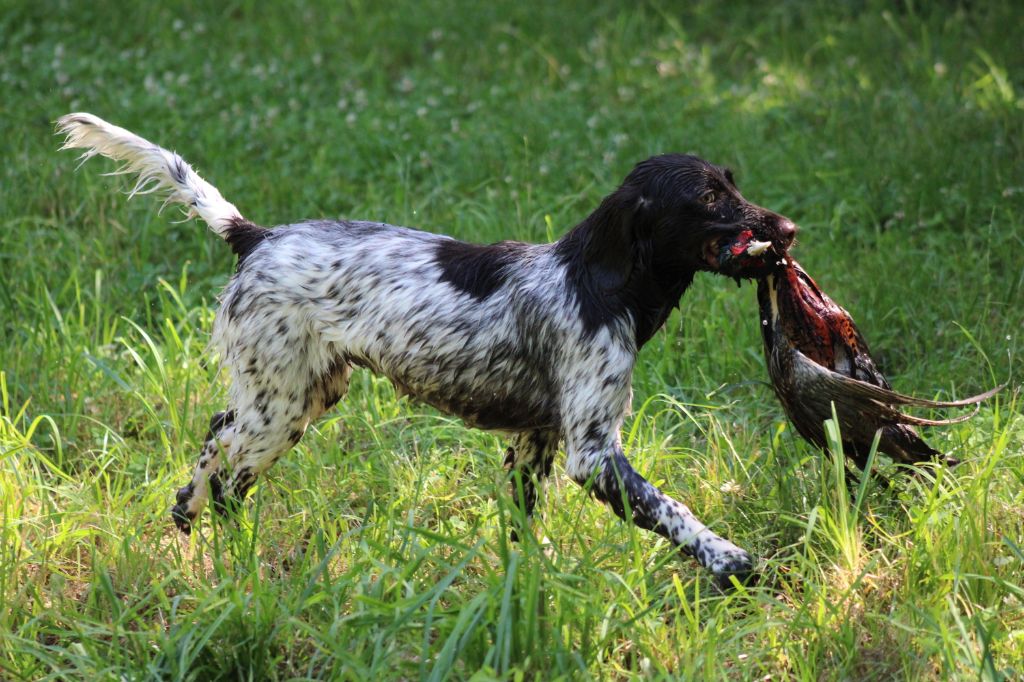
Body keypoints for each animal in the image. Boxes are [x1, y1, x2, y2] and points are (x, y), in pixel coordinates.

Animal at [58, 112, 798, 585]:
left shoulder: (535, 440)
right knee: (231, 477)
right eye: (710, 197)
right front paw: (730, 560)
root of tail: (256, 235)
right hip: (281, 407)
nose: (788, 228)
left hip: (297, 396)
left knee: (214, 443)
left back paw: (187, 517)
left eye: (734, 183)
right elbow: (674, 510)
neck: (594, 281)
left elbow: (522, 530)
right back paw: (233, 553)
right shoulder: (592, 452)